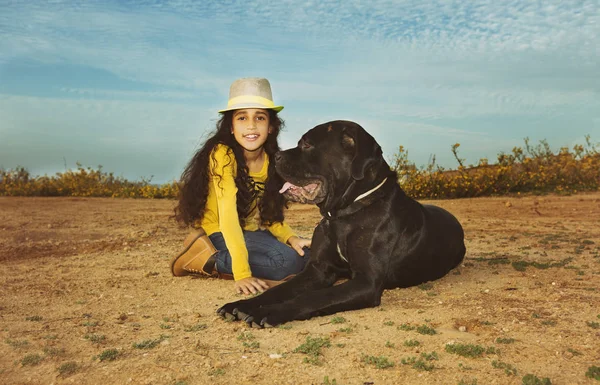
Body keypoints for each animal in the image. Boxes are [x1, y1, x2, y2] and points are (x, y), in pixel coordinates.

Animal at [218, 121, 466, 328]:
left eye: (307, 144)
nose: (276, 156)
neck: (342, 215)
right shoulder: (318, 270)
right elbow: (279, 289)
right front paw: (241, 305)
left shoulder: (366, 281)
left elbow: (314, 297)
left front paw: (268, 312)